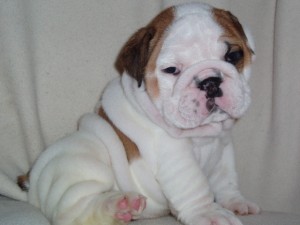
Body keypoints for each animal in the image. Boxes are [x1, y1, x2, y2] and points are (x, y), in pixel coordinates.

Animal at [23, 2, 258, 225]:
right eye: (171, 70)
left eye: (233, 55)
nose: (210, 82)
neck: (206, 134)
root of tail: (30, 180)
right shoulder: (175, 154)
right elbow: (194, 186)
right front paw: (208, 213)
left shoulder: (224, 147)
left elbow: (226, 179)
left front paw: (235, 202)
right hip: (83, 162)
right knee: (73, 212)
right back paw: (116, 206)